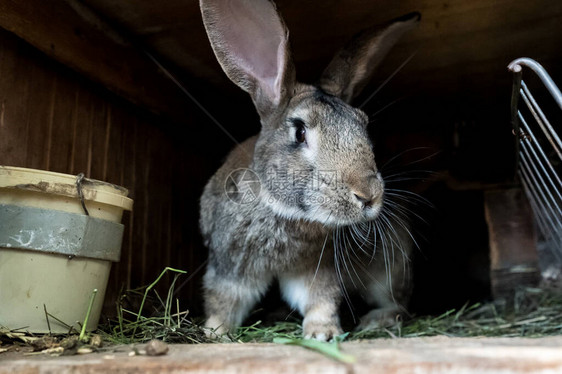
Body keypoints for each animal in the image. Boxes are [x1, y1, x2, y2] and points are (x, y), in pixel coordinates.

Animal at [199, 0, 418, 340]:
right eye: (300, 132)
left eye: (364, 126)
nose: (369, 196)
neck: (280, 209)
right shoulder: (229, 267)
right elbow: (223, 301)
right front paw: (214, 333)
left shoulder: (316, 269)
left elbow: (320, 298)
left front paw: (323, 333)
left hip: (390, 268)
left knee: (397, 303)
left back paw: (375, 320)